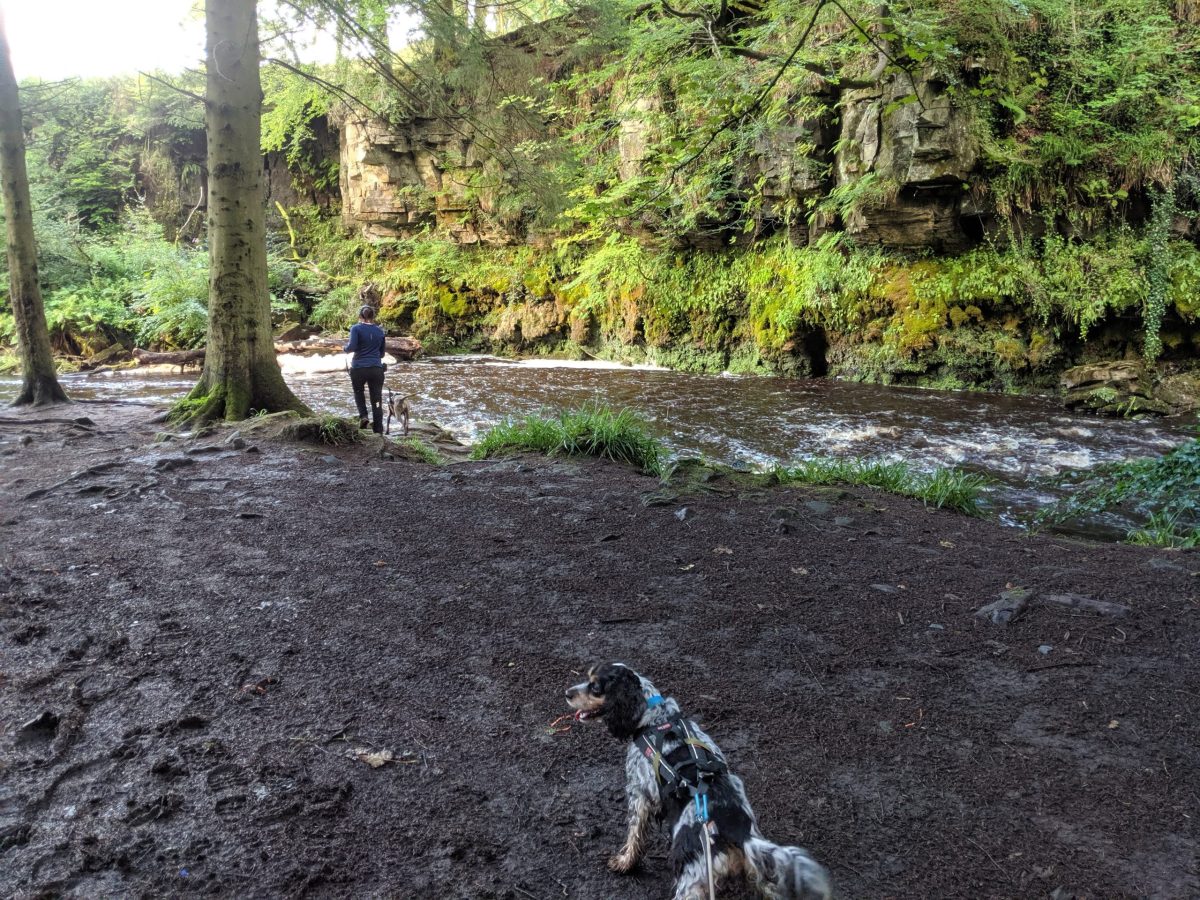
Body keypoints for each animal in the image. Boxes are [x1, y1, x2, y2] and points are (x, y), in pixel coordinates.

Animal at [564, 662, 830, 900]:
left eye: (595, 686)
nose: (567, 693)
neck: (654, 718)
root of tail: (737, 832)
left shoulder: (639, 794)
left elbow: (634, 835)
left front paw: (624, 863)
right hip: (757, 866)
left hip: (691, 881)